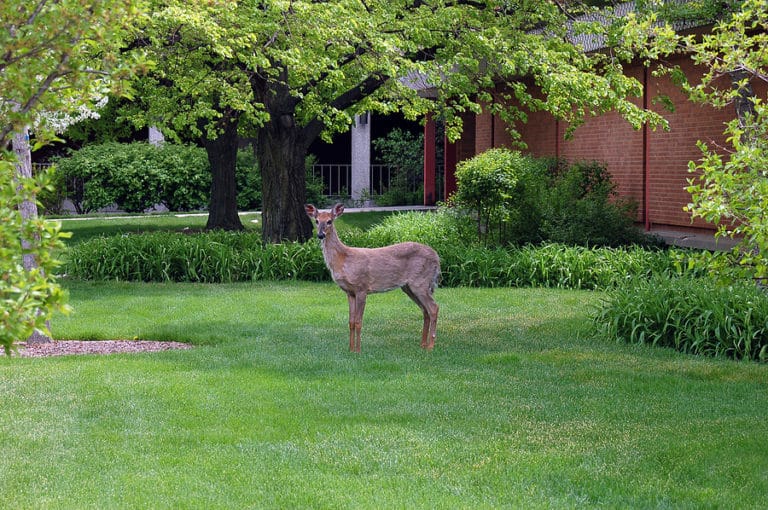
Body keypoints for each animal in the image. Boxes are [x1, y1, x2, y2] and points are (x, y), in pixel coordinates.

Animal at [305, 203, 440, 352]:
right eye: (316, 221)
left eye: (329, 221)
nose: (320, 235)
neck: (343, 259)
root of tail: (437, 258)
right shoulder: (349, 292)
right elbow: (351, 322)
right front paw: (350, 349)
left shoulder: (361, 287)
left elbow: (358, 321)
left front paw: (358, 351)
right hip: (409, 287)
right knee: (425, 310)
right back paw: (422, 344)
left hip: (420, 282)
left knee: (434, 308)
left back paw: (430, 346)